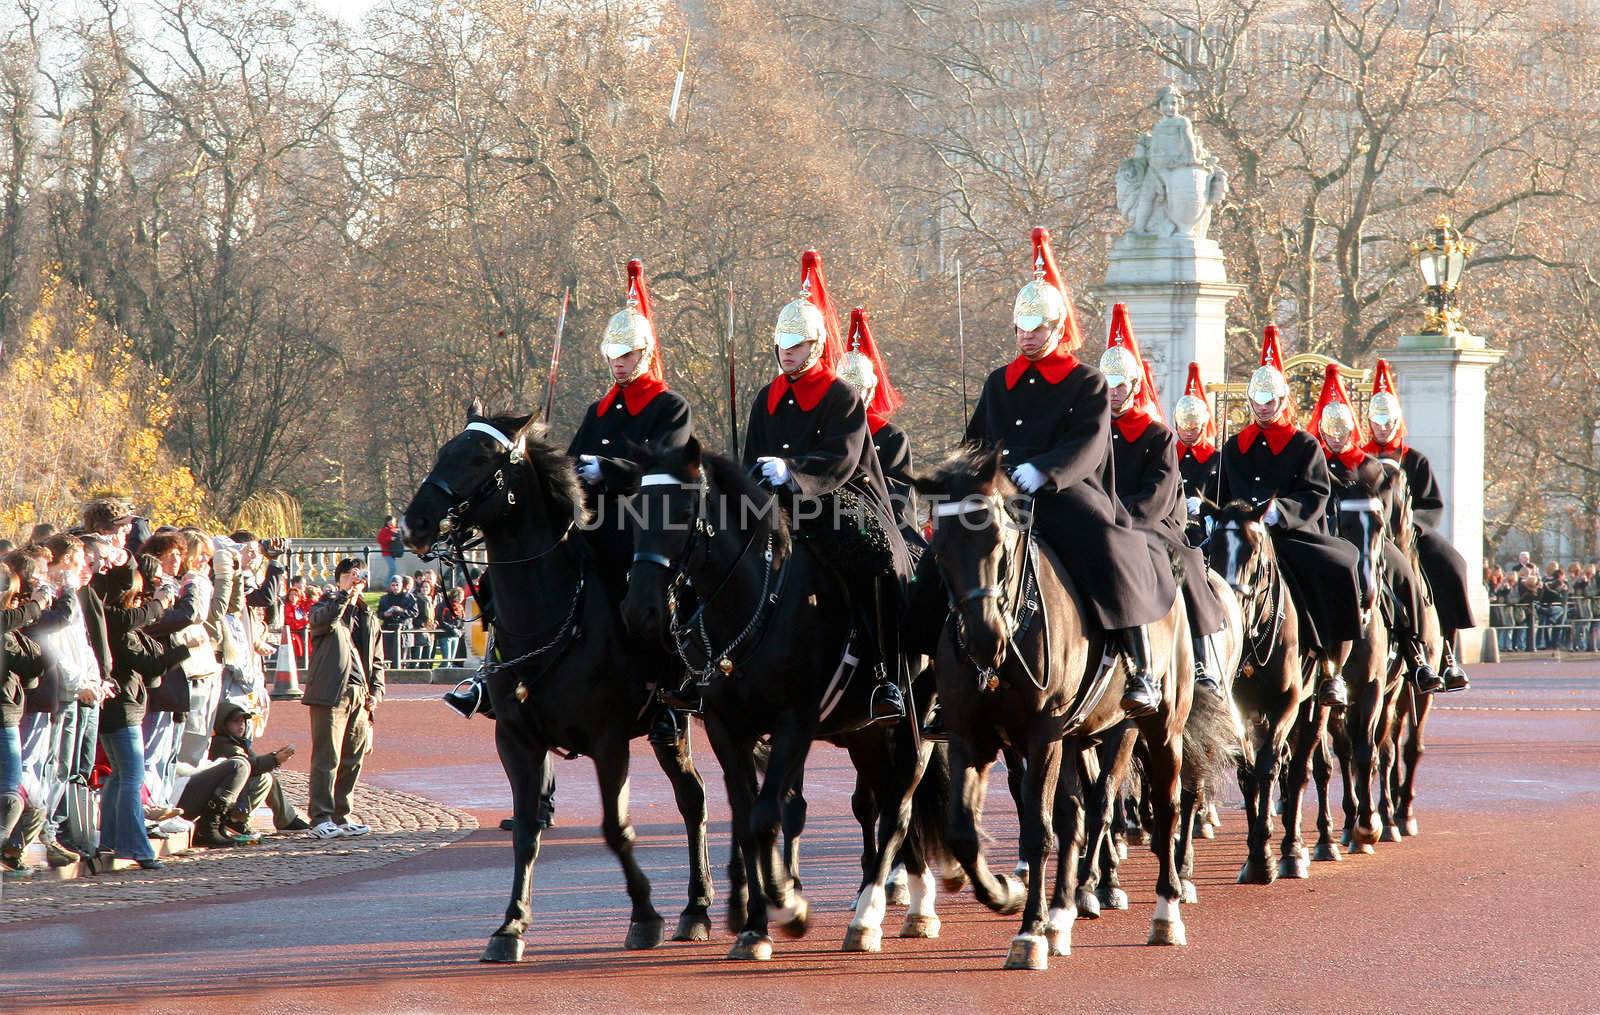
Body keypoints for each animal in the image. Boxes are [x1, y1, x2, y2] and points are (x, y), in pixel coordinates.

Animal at [400, 403, 720, 954]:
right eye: (445, 449)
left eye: (481, 456)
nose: (414, 523)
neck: (546, 614)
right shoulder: (516, 740)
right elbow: (527, 831)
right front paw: (511, 925)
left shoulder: (609, 740)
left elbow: (617, 828)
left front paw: (645, 916)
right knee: (694, 797)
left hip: (677, 724)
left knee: (698, 800)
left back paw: (700, 906)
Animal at [617, 435, 940, 954]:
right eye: (632, 510)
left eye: (684, 509)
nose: (639, 609)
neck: (753, 600)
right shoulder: (728, 729)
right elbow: (748, 818)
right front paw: (753, 923)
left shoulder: (794, 723)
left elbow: (767, 815)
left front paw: (788, 904)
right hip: (866, 734)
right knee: (889, 800)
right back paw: (906, 903)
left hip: (915, 727)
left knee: (899, 809)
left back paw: (872, 916)